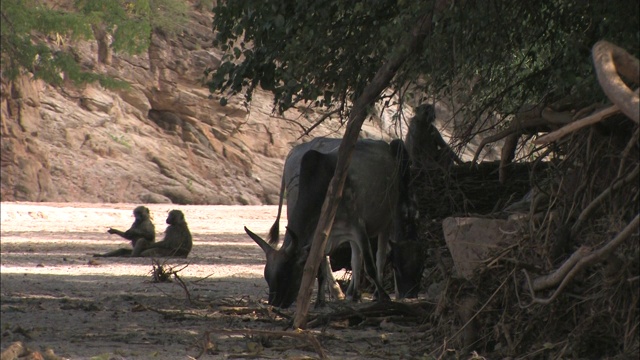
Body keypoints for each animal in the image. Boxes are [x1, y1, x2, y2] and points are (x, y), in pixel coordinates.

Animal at [245, 136, 420, 308]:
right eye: (267, 277)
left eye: (287, 273)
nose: (275, 304)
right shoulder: (323, 235)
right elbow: (320, 267)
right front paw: (320, 301)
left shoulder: (359, 227)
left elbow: (370, 266)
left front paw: (384, 296)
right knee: (356, 259)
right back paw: (353, 294)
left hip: (385, 221)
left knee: (379, 257)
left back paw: (368, 293)